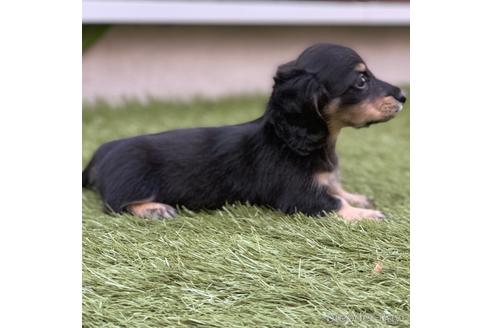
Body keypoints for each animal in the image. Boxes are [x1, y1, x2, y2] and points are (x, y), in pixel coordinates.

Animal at [82, 43, 406, 222]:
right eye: (361, 81)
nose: (403, 96)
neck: (287, 139)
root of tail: (102, 152)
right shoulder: (298, 194)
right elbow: (333, 202)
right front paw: (366, 215)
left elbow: (335, 188)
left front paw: (358, 198)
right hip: (133, 180)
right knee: (115, 204)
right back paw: (154, 209)